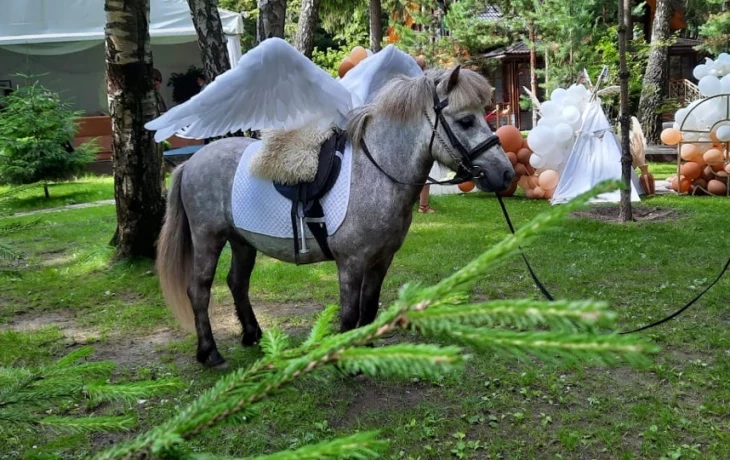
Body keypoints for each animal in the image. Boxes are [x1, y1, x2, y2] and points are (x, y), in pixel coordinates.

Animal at [157, 66, 516, 368]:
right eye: (466, 121)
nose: (506, 173)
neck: (375, 173)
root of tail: (190, 163)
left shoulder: (381, 260)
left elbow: (369, 308)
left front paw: (366, 348)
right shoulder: (351, 263)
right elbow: (349, 313)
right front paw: (346, 358)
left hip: (242, 241)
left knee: (237, 283)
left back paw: (252, 334)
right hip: (208, 238)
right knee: (199, 290)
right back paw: (210, 353)